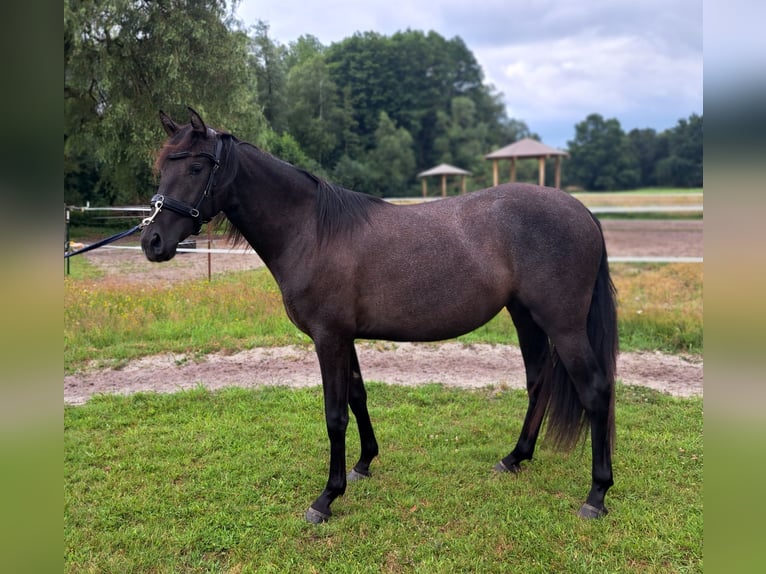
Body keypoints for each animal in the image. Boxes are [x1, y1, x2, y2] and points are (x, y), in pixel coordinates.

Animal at [140, 109, 616, 528]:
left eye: (197, 166)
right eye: (163, 166)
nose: (152, 242)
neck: (312, 231)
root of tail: (583, 213)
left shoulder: (328, 338)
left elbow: (335, 414)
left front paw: (326, 498)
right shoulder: (343, 337)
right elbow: (357, 396)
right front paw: (364, 463)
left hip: (564, 326)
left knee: (594, 391)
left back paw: (596, 495)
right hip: (525, 316)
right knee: (539, 382)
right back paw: (515, 457)